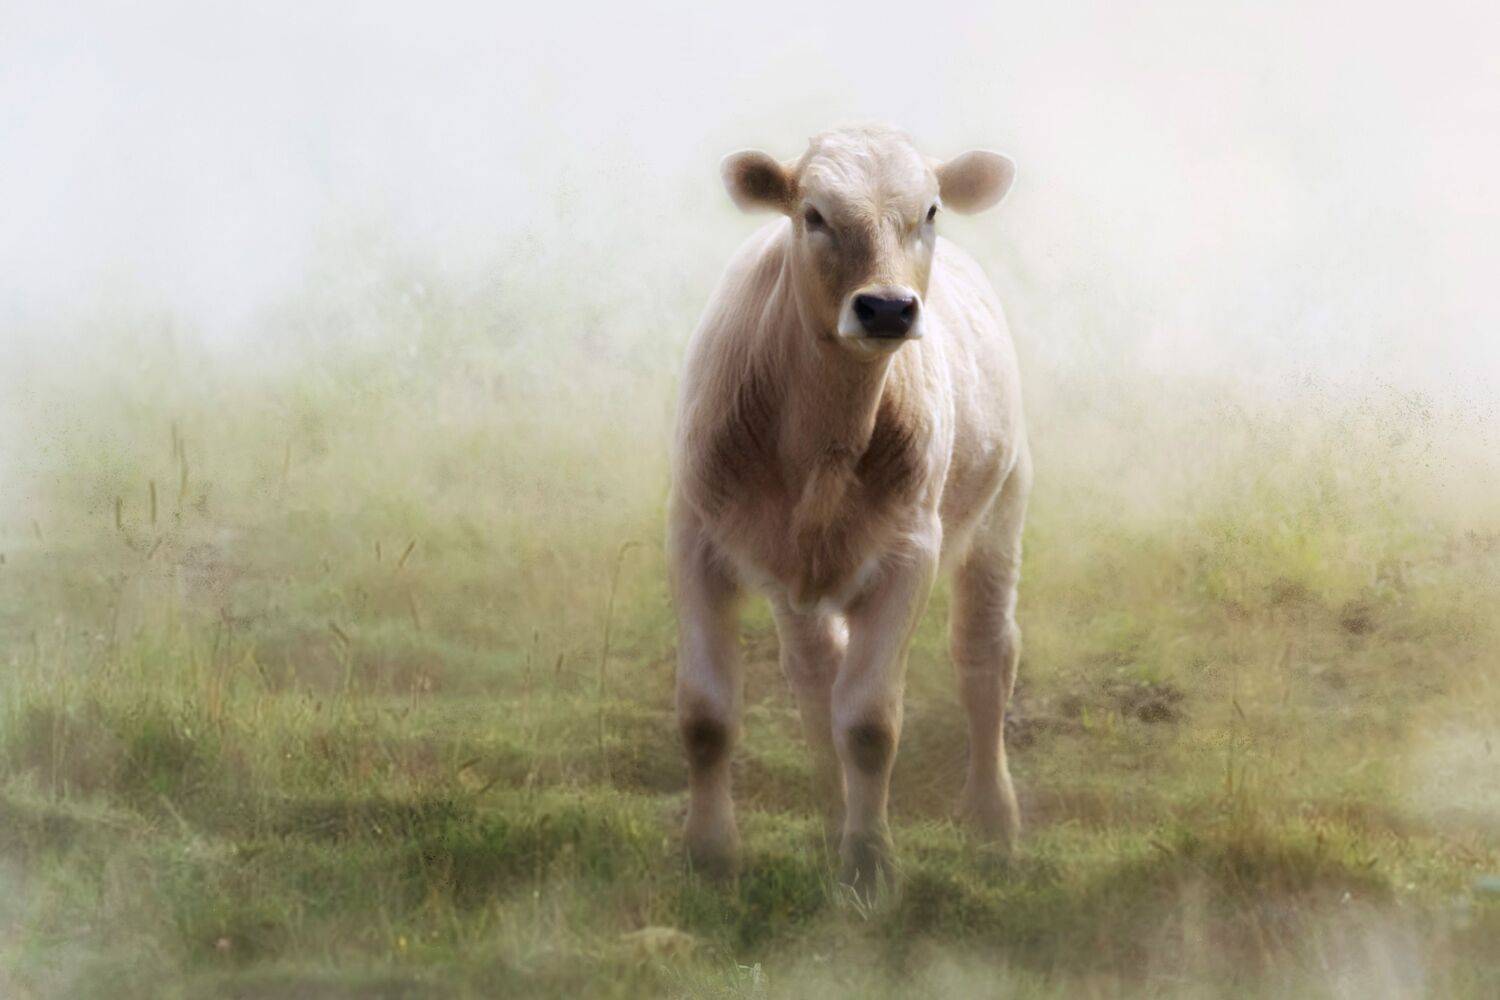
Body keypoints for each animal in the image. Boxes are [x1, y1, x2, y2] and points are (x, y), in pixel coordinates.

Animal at [670, 124, 1029, 892]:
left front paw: (869, 862)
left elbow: (868, 722)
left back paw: (994, 822)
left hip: (1001, 510)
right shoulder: (694, 537)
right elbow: (707, 713)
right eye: (813, 215)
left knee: (985, 656)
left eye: (929, 212)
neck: (816, 438)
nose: (887, 308)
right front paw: (710, 854)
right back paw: (833, 809)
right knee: (814, 672)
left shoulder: (909, 551)